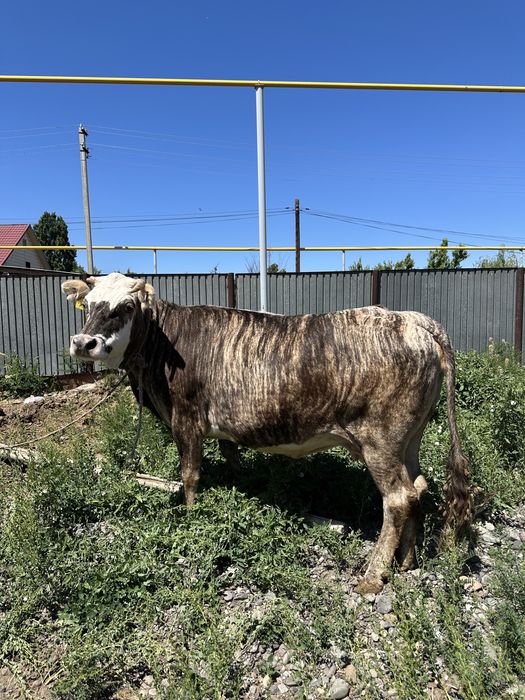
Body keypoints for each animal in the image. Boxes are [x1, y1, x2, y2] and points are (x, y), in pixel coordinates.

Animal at [62, 272, 471, 594]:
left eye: (126, 307)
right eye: (88, 305)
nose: (83, 343)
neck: (165, 348)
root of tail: (412, 319)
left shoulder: (186, 420)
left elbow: (190, 475)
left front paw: (192, 516)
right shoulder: (223, 429)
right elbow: (233, 466)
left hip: (380, 441)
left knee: (399, 498)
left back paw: (373, 574)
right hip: (409, 438)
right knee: (418, 487)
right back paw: (406, 559)